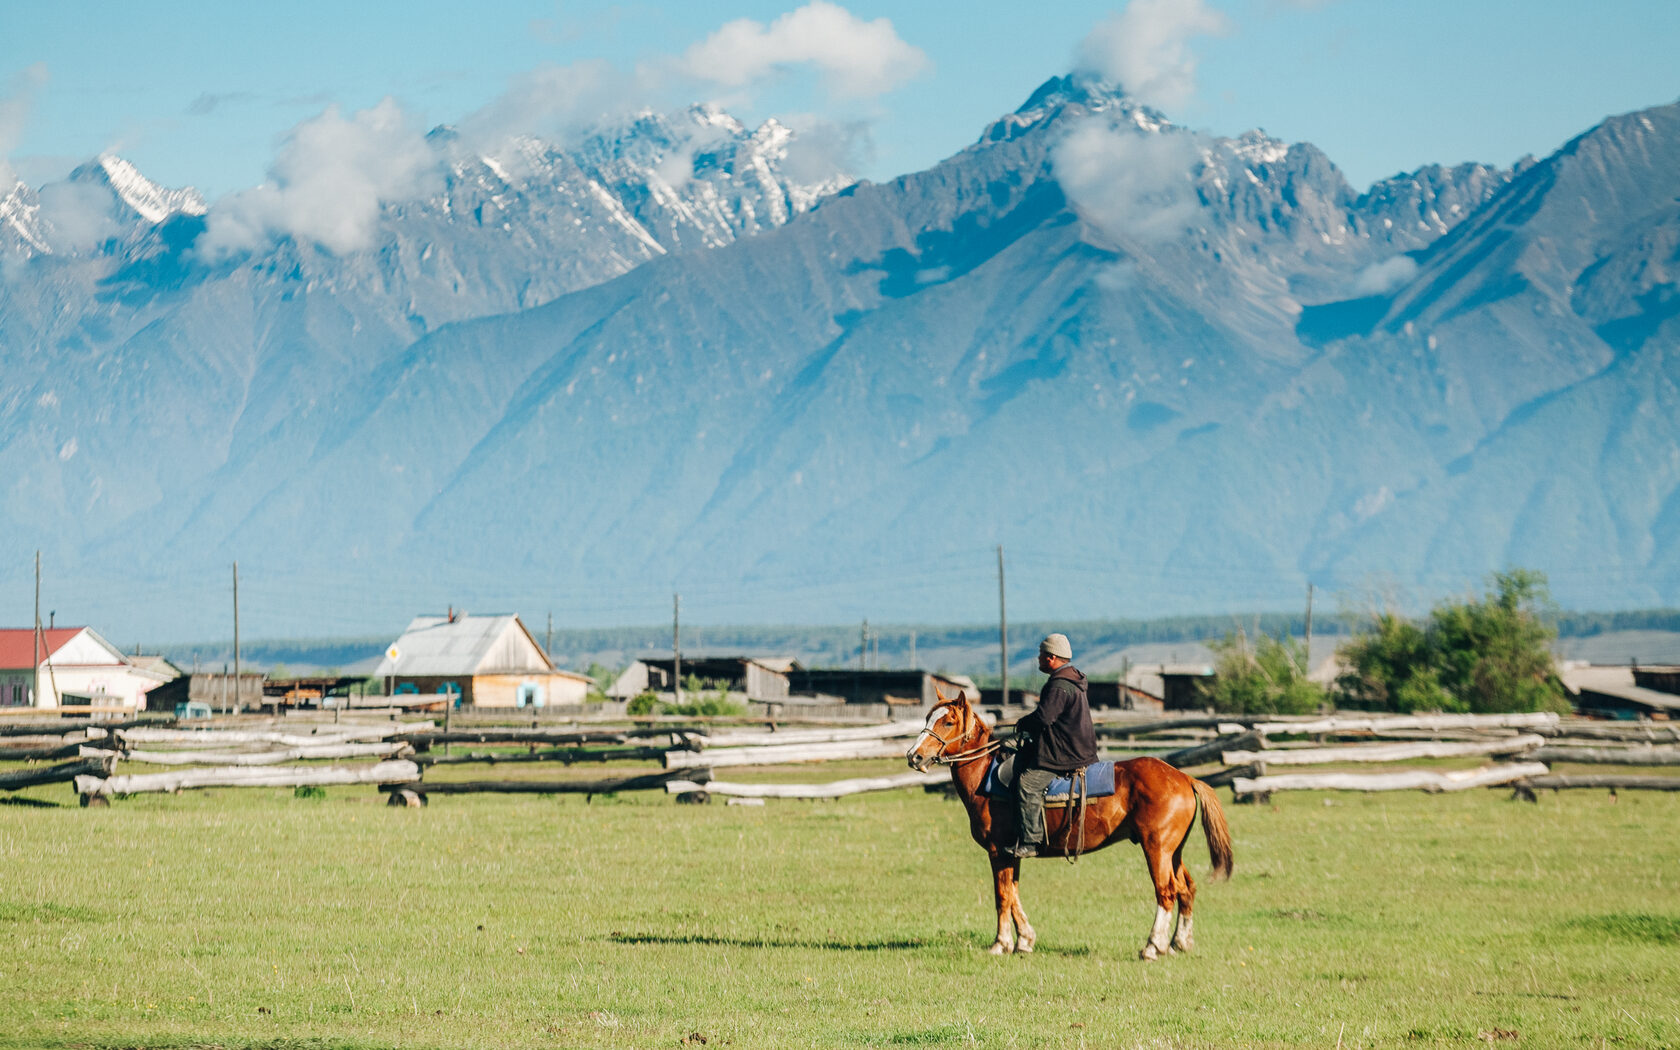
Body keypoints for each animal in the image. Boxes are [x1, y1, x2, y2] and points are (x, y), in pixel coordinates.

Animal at [913, 692, 1229, 954]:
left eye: (948, 721)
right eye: (928, 717)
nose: (914, 756)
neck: (986, 777)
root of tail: (1184, 777)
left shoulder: (998, 852)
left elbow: (1002, 895)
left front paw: (1001, 944)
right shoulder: (1011, 853)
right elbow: (1013, 893)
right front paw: (1025, 940)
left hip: (1157, 849)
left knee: (1166, 892)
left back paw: (1153, 947)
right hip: (1173, 851)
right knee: (1186, 889)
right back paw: (1179, 943)